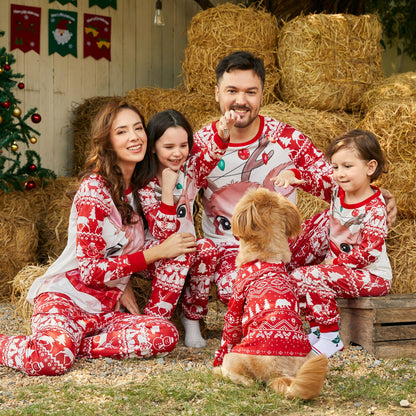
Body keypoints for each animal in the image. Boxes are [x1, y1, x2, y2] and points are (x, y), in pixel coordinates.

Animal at [214, 188, 328, 400]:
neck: (265, 255)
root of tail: (280, 373)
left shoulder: (235, 306)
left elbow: (228, 335)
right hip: (310, 356)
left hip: (235, 356)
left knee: (244, 379)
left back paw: (221, 371)